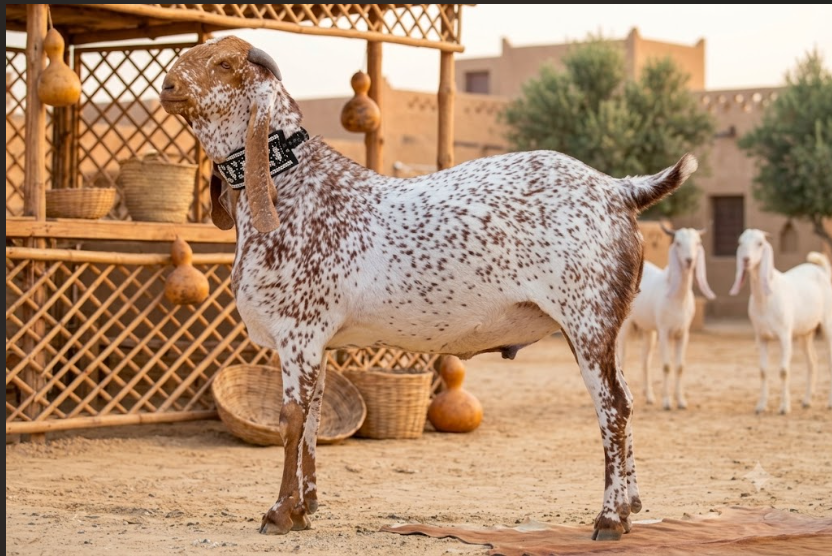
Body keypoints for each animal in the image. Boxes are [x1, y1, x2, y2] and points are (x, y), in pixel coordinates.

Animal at [160, 36, 698, 541]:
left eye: (223, 64)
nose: (167, 84)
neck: (292, 188)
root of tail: (619, 189)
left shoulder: (298, 333)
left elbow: (290, 419)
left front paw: (278, 513)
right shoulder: (318, 346)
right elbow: (312, 417)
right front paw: (305, 507)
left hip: (587, 323)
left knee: (613, 407)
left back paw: (610, 518)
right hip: (608, 328)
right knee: (626, 400)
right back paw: (631, 507)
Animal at [617, 225, 715, 409]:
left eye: (697, 242)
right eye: (678, 243)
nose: (689, 260)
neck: (677, 298)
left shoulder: (683, 333)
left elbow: (680, 367)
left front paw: (681, 401)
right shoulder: (664, 331)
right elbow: (667, 366)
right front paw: (667, 402)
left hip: (648, 331)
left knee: (645, 359)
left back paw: (649, 396)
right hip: (627, 328)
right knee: (623, 357)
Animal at [729, 229, 832, 413]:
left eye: (760, 243)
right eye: (740, 242)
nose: (746, 260)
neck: (766, 299)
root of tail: (822, 271)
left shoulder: (784, 336)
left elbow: (784, 371)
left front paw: (784, 407)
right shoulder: (761, 337)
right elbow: (763, 371)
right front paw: (760, 406)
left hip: (827, 323)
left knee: (828, 359)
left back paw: (829, 403)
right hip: (805, 332)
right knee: (812, 361)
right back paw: (807, 401)